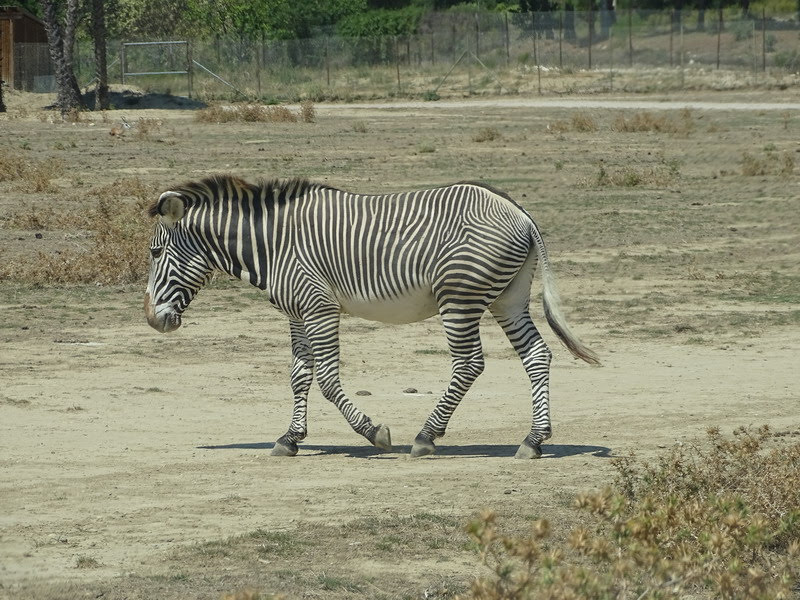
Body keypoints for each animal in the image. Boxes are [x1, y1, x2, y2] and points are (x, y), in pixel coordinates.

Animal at [144, 173, 596, 460]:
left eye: (154, 252)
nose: (152, 320)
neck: (272, 243)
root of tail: (519, 211)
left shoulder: (319, 307)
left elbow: (327, 380)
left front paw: (374, 432)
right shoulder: (297, 312)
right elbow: (299, 376)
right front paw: (290, 438)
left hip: (459, 295)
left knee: (469, 363)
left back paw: (426, 437)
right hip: (508, 298)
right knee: (536, 356)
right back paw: (534, 440)